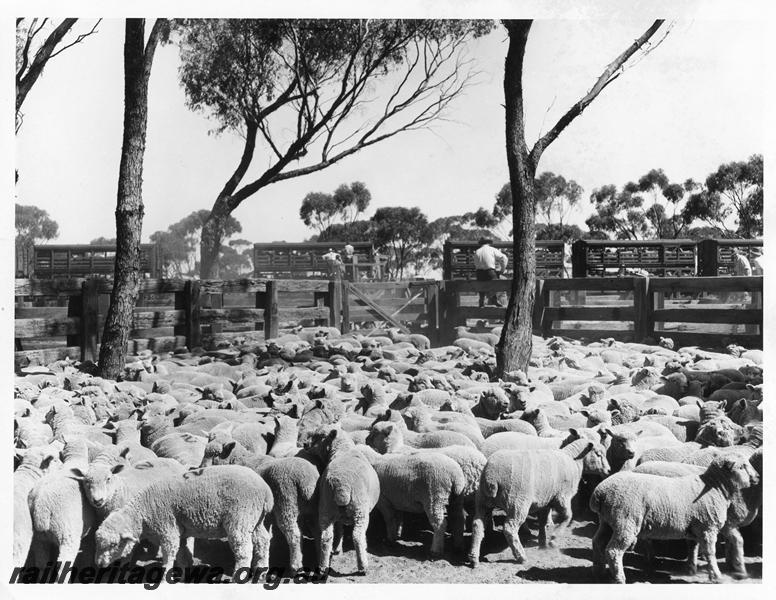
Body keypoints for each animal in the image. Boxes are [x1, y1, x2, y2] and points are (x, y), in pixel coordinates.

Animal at [96, 464, 274, 576]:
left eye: (114, 545)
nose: (98, 564)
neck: (143, 512)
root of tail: (266, 491)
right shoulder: (180, 531)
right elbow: (181, 554)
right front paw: (180, 574)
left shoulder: (167, 529)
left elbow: (169, 554)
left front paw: (164, 576)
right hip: (255, 519)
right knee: (263, 541)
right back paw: (261, 570)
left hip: (240, 517)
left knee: (244, 550)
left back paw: (239, 577)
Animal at [308, 424, 384, 576]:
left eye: (319, 435)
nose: (305, 445)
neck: (343, 449)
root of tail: (341, 486)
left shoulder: (337, 516)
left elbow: (339, 529)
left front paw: (338, 548)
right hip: (360, 510)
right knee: (358, 536)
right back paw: (363, 567)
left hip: (326, 507)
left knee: (326, 537)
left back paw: (323, 567)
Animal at [470, 436, 608, 568]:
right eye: (598, 454)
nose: (608, 470)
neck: (574, 460)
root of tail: (491, 476)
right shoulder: (562, 497)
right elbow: (567, 517)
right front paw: (553, 540)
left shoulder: (545, 501)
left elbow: (542, 522)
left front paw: (543, 544)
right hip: (518, 503)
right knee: (510, 528)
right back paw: (521, 557)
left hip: (482, 501)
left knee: (477, 525)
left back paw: (474, 559)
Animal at [588, 454, 756, 580]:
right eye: (742, 467)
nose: (757, 477)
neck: (714, 487)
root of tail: (599, 492)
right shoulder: (707, 527)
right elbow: (710, 552)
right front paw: (716, 575)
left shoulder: (695, 527)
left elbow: (693, 548)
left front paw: (691, 569)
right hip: (625, 521)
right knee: (613, 551)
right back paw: (619, 578)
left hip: (607, 521)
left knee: (597, 542)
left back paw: (598, 571)